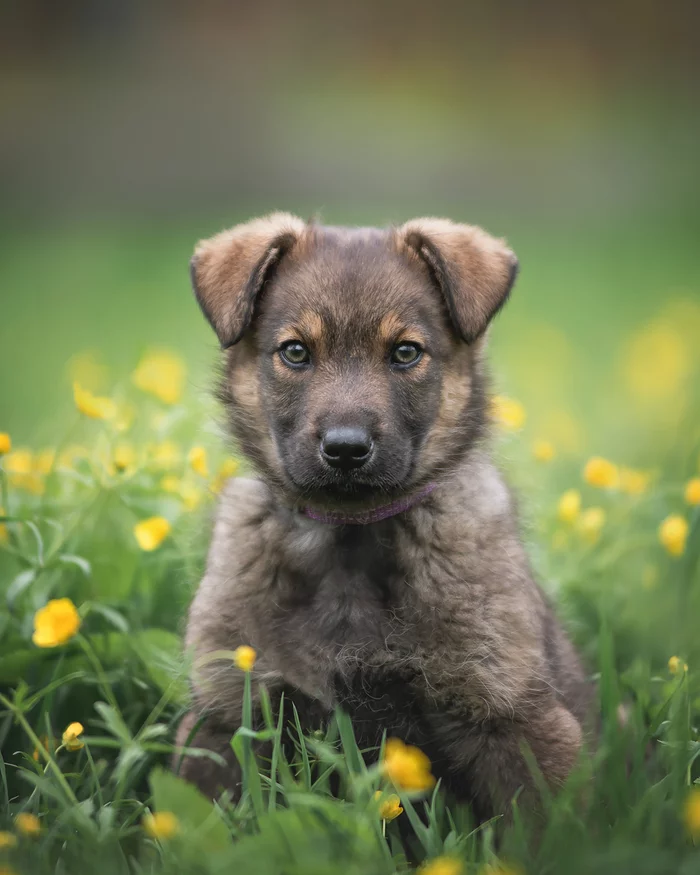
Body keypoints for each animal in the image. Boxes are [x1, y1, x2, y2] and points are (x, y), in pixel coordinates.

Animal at [176, 212, 592, 820]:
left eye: (405, 353)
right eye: (295, 352)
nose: (346, 448)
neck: (349, 540)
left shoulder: (513, 717)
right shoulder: (226, 715)